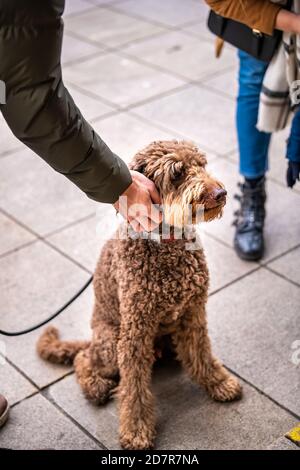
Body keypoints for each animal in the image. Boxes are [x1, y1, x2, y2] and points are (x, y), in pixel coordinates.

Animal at [37, 140, 243, 452]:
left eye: (201, 165)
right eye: (177, 174)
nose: (220, 193)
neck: (168, 245)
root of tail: (93, 337)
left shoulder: (193, 314)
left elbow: (202, 354)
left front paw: (219, 383)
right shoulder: (136, 331)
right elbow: (134, 388)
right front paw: (136, 431)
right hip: (112, 342)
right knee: (84, 358)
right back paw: (96, 386)